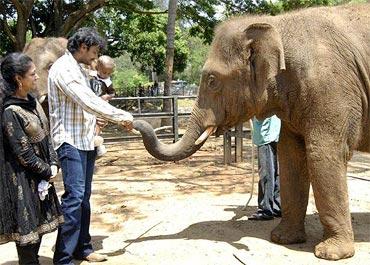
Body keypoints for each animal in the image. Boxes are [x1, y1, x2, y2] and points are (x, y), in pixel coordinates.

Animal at [134, 3, 370, 260]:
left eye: (212, 80)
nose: (136, 123)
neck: (277, 24)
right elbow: (291, 156)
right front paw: (282, 239)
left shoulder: (331, 88)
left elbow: (324, 155)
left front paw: (330, 254)